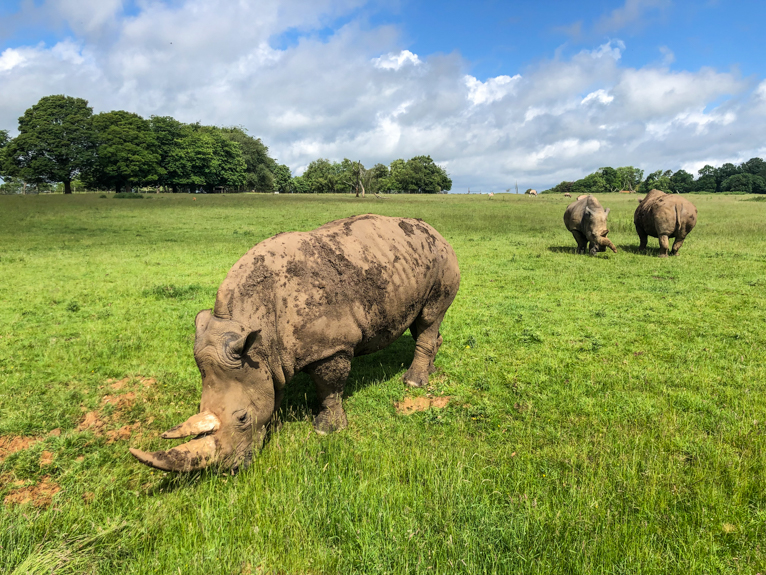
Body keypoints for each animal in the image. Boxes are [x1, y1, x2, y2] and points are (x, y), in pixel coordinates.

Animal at [130, 215, 462, 472]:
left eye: (242, 417)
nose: (230, 469)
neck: (255, 329)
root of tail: (437, 232)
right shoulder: (264, 356)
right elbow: (274, 390)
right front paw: (275, 425)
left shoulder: (331, 347)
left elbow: (329, 386)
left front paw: (326, 430)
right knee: (424, 323)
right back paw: (430, 371)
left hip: (443, 260)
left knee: (430, 316)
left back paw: (414, 383)